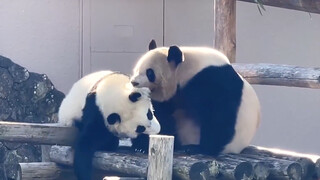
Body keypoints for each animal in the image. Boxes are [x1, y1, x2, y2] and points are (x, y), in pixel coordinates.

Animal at [130, 40, 260, 156]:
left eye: (149, 73)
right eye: (136, 70)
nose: (134, 82)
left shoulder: (212, 79)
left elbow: (219, 114)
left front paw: (203, 149)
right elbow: (160, 115)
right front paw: (142, 143)